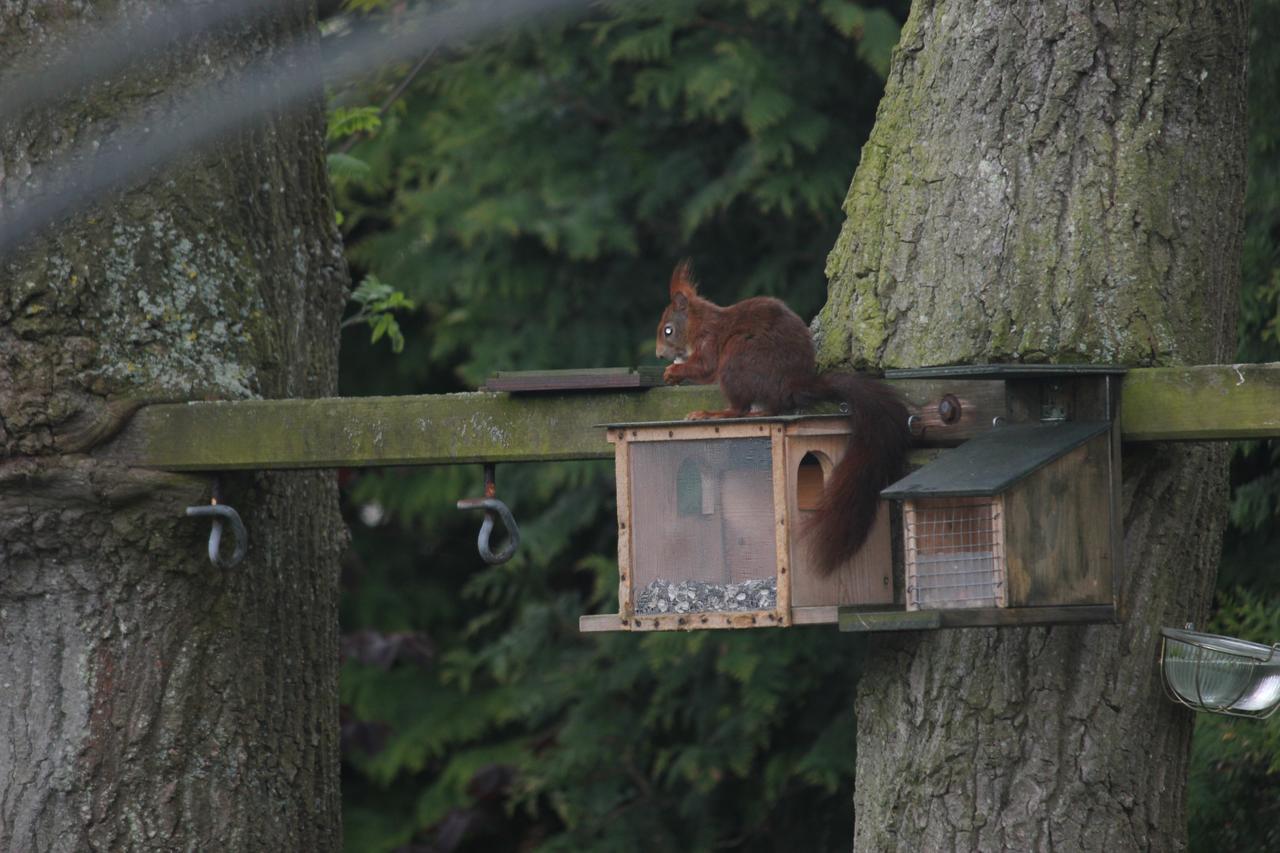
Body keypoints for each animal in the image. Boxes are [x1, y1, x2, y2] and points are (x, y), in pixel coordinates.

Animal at [655, 261, 916, 571]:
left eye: (668, 330)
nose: (658, 355)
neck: (698, 324)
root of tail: (794, 385)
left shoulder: (709, 342)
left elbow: (705, 367)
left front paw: (674, 371)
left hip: (736, 359)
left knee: (741, 408)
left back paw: (713, 413)